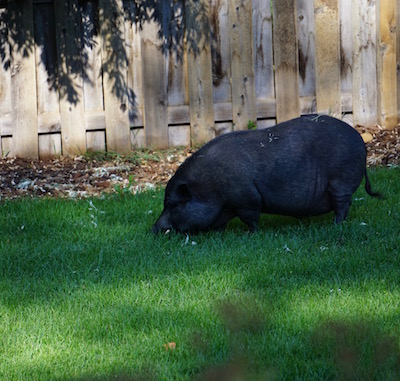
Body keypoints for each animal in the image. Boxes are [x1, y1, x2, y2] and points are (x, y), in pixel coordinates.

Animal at [152, 113, 380, 232]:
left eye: (173, 204)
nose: (154, 228)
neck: (210, 190)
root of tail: (361, 143)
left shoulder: (247, 199)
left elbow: (251, 219)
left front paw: (252, 234)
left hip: (341, 181)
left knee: (343, 205)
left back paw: (335, 226)